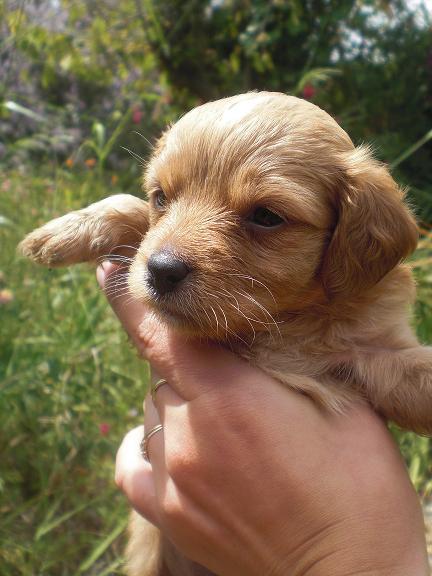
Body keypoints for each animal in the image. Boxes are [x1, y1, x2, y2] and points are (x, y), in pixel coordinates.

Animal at [19, 91, 432, 576]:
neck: (279, 322)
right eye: (162, 197)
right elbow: (132, 210)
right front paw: (68, 229)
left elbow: (415, 373)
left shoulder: (375, 351)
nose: (160, 270)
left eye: (267, 216)